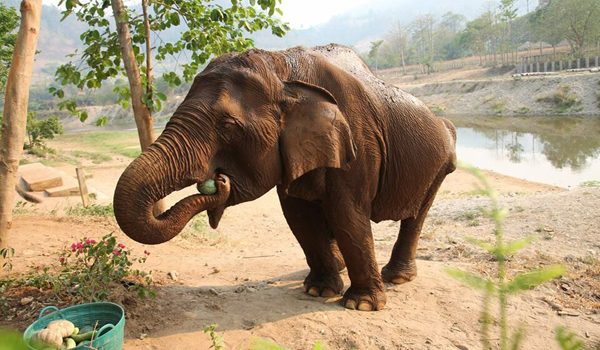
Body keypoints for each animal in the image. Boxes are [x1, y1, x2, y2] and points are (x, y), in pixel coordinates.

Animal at [115, 43, 458, 312]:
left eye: (227, 126)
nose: (219, 181)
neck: (282, 68)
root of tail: (446, 123)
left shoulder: (359, 143)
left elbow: (347, 214)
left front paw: (360, 305)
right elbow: (298, 215)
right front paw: (319, 290)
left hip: (441, 165)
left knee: (415, 216)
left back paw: (397, 278)